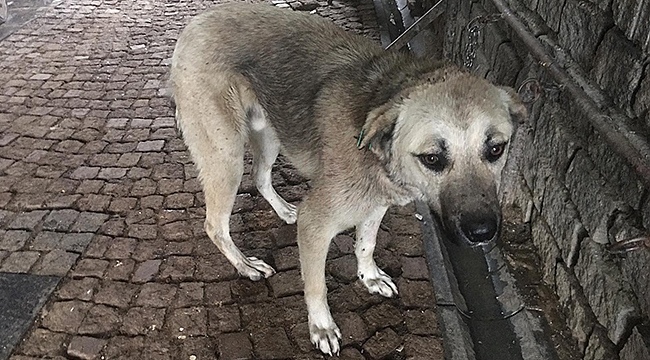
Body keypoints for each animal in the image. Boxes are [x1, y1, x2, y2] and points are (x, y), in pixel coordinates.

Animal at [170, 2, 524, 356]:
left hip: (269, 133)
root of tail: (196, 23)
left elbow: (366, 243)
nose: (483, 233)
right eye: (432, 159)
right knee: (215, 224)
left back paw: (283, 210)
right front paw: (321, 327)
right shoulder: (316, 224)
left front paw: (369, 277)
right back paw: (245, 266)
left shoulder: (376, 203)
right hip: (226, 157)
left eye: (496, 149)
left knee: (259, 177)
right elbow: (316, 286)